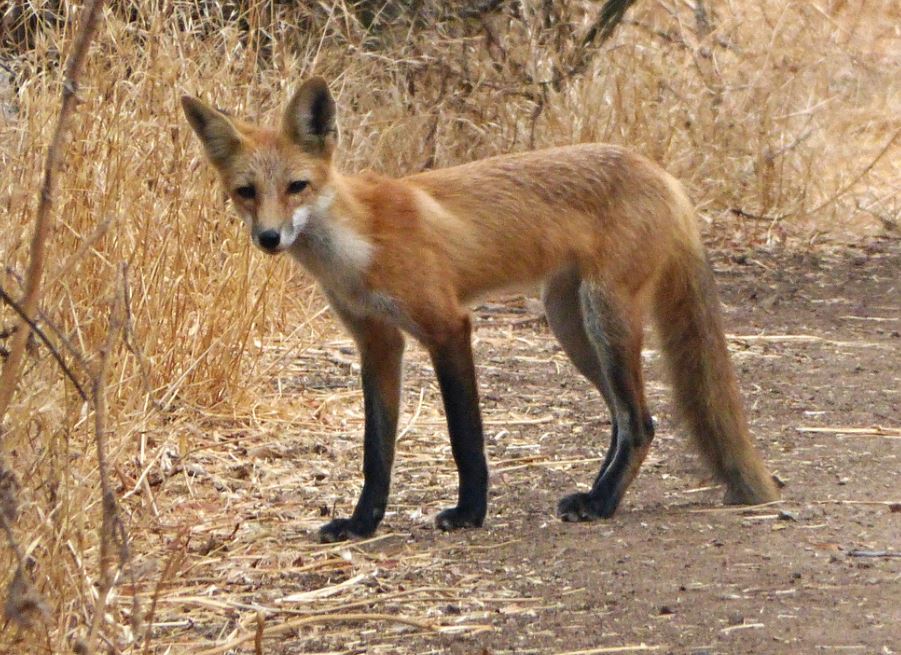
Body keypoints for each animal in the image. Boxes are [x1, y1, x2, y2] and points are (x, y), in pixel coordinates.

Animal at [181, 77, 780, 543]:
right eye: (246, 192)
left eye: (296, 187)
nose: (269, 238)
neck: (359, 244)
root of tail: (662, 174)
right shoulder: (378, 342)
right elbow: (377, 452)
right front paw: (362, 523)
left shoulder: (447, 326)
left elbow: (464, 435)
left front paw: (469, 513)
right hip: (571, 324)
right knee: (625, 418)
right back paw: (595, 492)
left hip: (603, 316)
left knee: (641, 422)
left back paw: (602, 503)